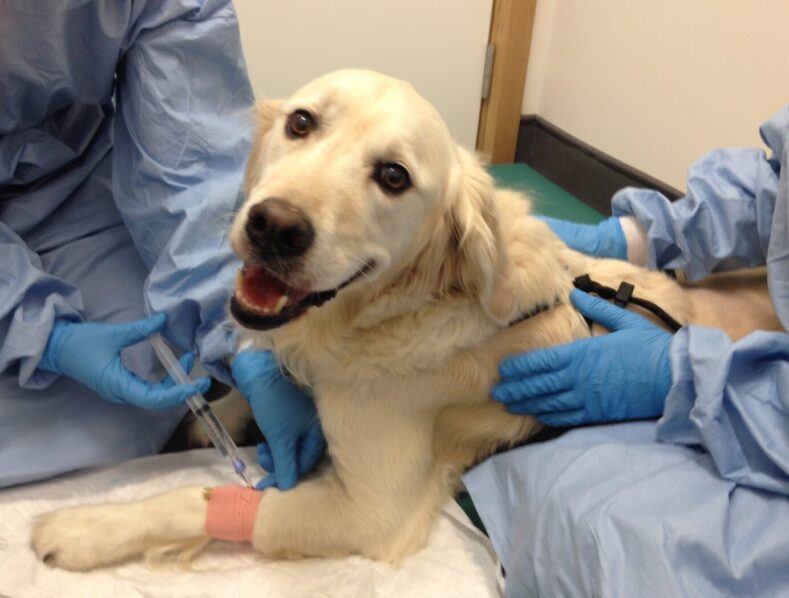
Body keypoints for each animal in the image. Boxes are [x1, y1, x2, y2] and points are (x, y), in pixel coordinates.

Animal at [27, 69, 780, 572]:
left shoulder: (370, 510)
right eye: (301, 123)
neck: (386, 314)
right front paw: (216, 403)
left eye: (393, 176)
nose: (273, 227)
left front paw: (86, 529)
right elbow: (254, 384)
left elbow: (198, 495)